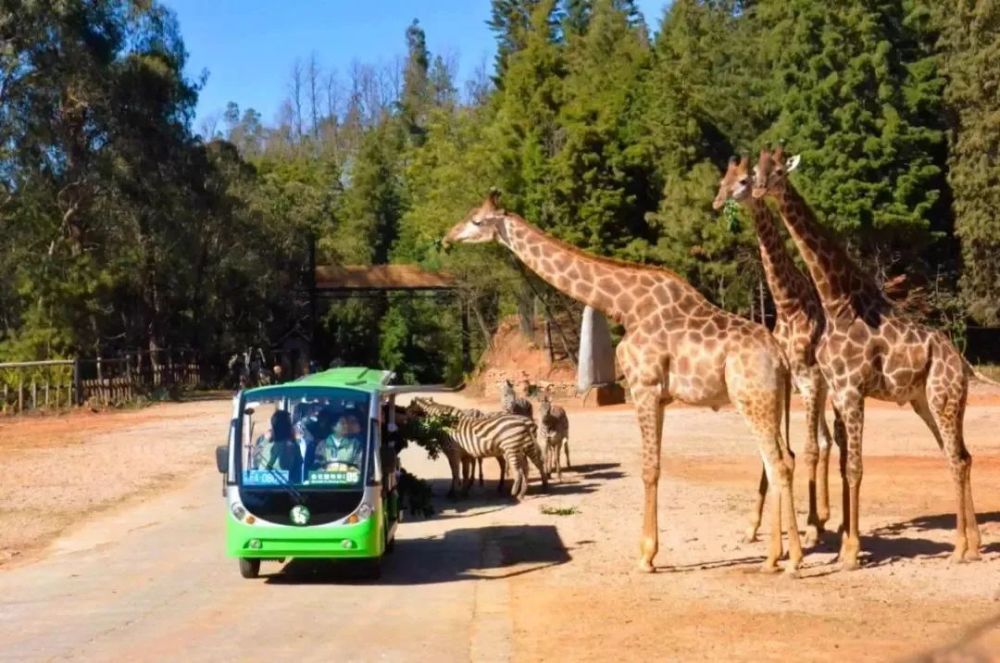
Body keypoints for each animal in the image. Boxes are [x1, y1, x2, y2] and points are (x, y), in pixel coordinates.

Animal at [406, 396, 548, 500]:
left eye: (408, 409)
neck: (444, 423)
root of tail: (525, 423)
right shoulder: (464, 455)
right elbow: (464, 473)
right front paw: (464, 492)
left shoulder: (452, 453)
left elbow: (455, 474)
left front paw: (452, 494)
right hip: (523, 448)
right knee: (532, 466)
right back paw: (535, 489)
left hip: (512, 449)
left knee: (519, 471)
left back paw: (514, 494)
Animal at [716, 156, 832, 544]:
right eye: (721, 181)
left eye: (743, 180)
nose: (718, 203)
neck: (788, 304)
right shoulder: (785, 382)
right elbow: (779, 453)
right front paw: (753, 527)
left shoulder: (809, 379)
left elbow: (805, 450)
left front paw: (808, 528)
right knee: (827, 440)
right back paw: (824, 517)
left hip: (826, 388)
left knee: (826, 443)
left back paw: (822, 519)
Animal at [752, 147, 980, 572]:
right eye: (755, 171)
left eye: (777, 171)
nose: (758, 189)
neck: (838, 302)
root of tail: (961, 361)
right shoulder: (839, 391)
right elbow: (845, 464)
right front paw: (844, 543)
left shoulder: (851, 389)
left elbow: (855, 467)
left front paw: (850, 553)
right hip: (926, 402)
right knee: (959, 455)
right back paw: (972, 545)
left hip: (944, 397)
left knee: (957, 459)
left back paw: (961, 548)